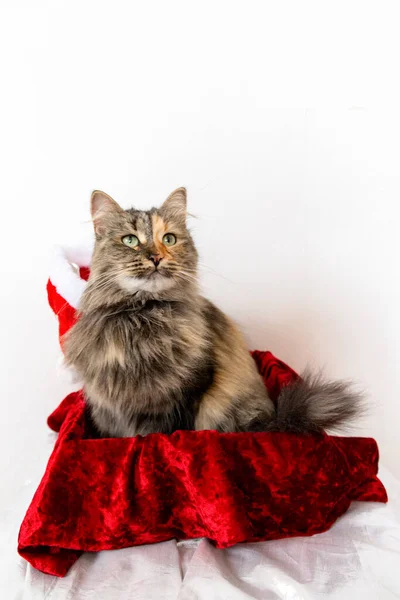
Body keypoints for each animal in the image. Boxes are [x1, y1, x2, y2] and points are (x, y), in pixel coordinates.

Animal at [64, 190, 360, 438]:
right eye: (130, 240)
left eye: (169, 239)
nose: (156, 257)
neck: (140, 317)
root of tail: (273, 422)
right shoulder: (109, 409)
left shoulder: (183, 395)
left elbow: (156, 436)